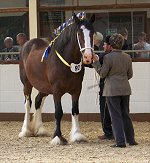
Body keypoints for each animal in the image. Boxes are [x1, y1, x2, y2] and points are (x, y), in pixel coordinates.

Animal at [18, 13, 95, 145]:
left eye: (92, 33)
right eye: (79, 33)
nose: (88, 57)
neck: (67, 63)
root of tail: (27, 44)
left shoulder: (77, 90)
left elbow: (75, 110)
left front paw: (77, 135)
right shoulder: (56, 90)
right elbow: (58, 112)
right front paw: (58, 137)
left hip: (44, 87)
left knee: (38, 101)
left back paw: (39, 129)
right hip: (27, 84)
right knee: (28, 104)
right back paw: (25, 131)